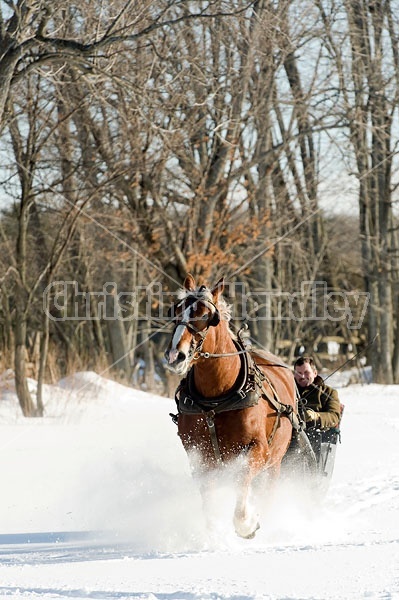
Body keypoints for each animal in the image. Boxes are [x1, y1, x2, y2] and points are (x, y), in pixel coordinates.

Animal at [164, 274, 302, 540]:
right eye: (175, 311)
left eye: (206, 314)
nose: (176, 356)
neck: (215, 402)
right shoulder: (199, 457)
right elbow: (208, 500)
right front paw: (214, 533)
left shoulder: (258, 451)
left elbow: (242, 480)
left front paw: (246, 523)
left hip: (275, 462)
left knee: (266, 490)